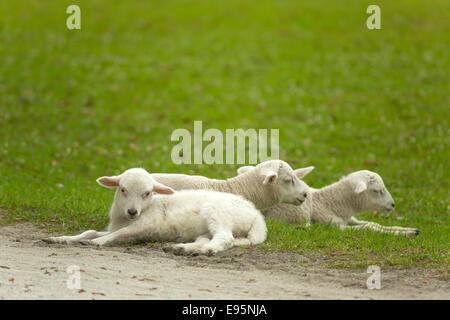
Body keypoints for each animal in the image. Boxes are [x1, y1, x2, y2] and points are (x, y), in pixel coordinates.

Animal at [237, 166, 420, 236]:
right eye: (376, 191)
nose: (392, 205)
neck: (331, 202)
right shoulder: (333, 226)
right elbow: (368, 228)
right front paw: (403, 233)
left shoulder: (349, 219)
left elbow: (373, 224)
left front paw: (409, 230)